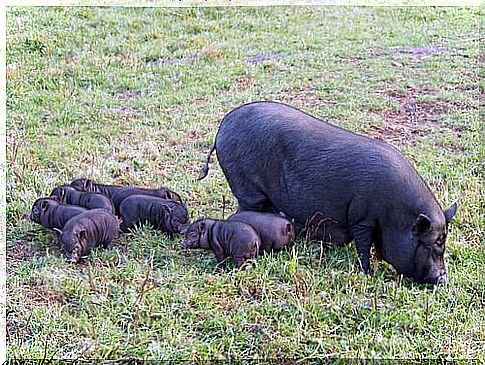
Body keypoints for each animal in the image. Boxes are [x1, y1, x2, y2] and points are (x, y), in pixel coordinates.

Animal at [199, 101, 456, 282]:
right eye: (432, 243)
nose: (443, 279)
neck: (394, 216)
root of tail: (221, 130)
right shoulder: (362, 218)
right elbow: (363, 245)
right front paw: (369, 272)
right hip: (246, 188)